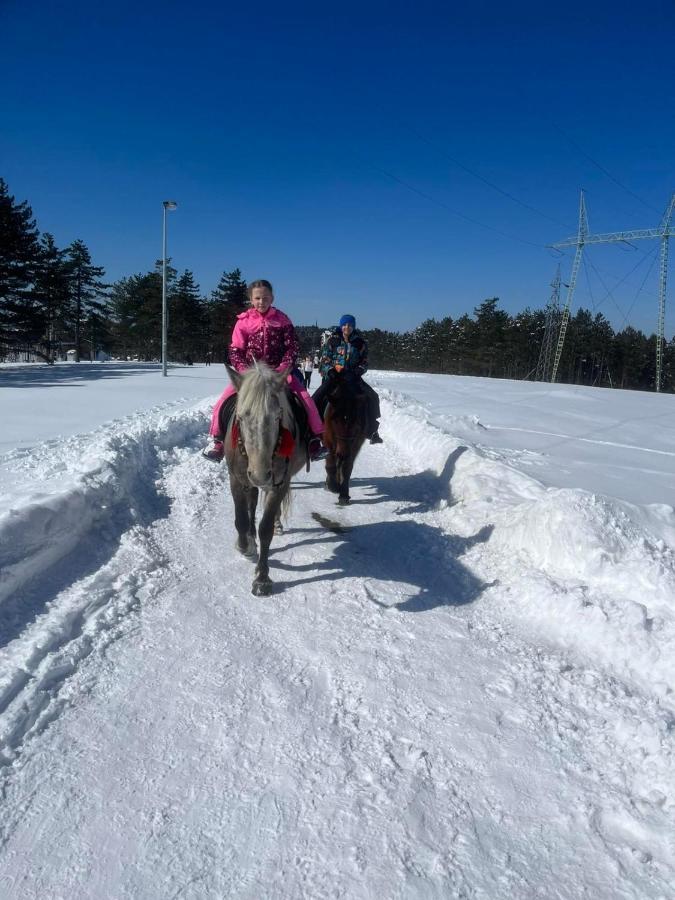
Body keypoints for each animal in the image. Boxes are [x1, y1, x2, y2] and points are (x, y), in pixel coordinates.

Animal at [223, 362, 308, 596]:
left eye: (278, 416)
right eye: (241, 417)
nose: (260, 475)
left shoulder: (279, 484)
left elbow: (266, 528)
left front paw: (262, 578)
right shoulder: (236, 479)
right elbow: (241, 519)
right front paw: (246, 546)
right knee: (251, 505)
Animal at [324, 370, 370, 502]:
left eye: (356, 422)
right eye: (335, 421)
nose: (343, 453)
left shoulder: (356, 442)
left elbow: (347, 466)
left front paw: (343, 493)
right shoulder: (328, 439)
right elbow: (330, 462)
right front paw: (333, 486)